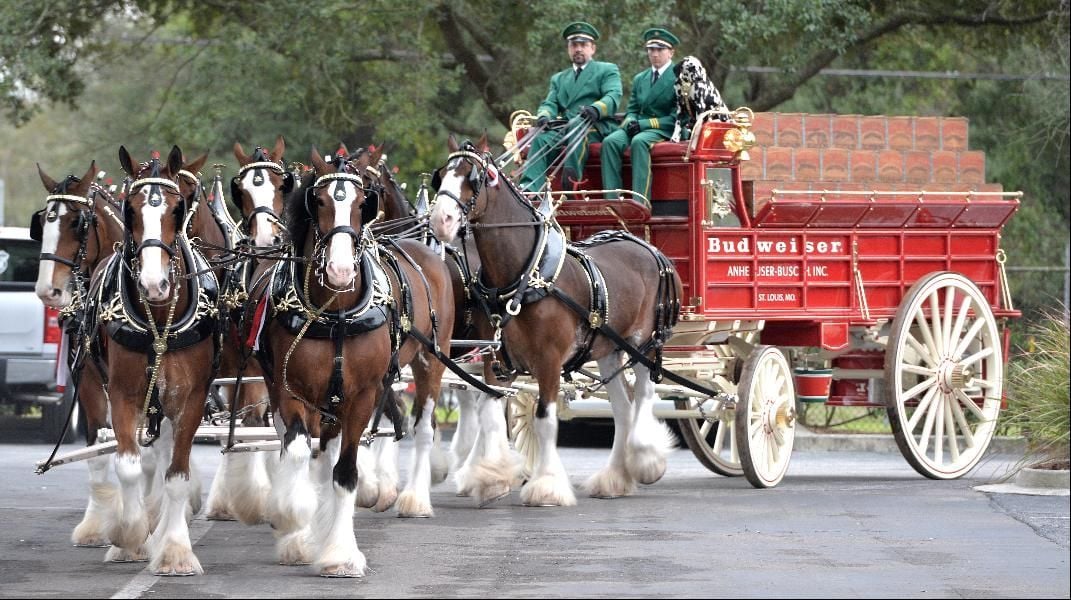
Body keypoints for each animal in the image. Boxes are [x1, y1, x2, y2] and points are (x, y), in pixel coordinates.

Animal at [246, 146, 451, 578]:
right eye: (320, 202)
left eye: (361, 204)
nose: (341, 271)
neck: (335, 312)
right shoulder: (291, 392)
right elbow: (297, 453)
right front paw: (296, 524)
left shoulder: (362, 396)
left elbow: (345, 472)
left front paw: (340, 554)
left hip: (430, 363)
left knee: (420, 428)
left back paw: (414, 499)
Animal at [426, 136, 676, 505]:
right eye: (441, 175)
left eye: (474, 178)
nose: (440, 220)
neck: (524, 276)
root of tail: (647, 248)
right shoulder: (495, 358)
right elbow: (490, 412)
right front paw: (489, 476)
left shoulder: (548, 360)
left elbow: (545, 419)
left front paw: (546, 485)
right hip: (607, 349)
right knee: (622, 407)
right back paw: (614, 478)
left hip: (642, 343)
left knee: (644, 393)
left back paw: (645, 457)